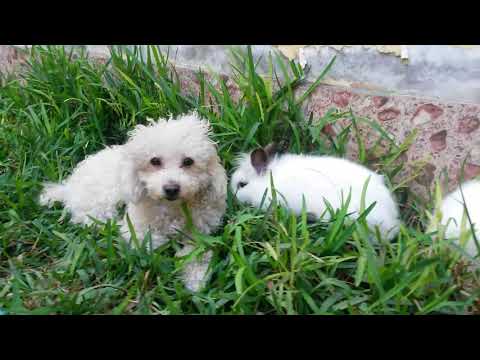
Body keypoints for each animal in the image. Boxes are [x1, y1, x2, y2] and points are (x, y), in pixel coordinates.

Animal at [39, 111, 227, 292]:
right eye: (154, 161)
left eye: (188, 161)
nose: (171, 188)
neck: (170, 207)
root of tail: (68, 188)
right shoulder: (135, 227)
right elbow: (146, 241)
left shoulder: (200, 232)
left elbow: (198, 253)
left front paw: (195, 279)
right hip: (101, 207)